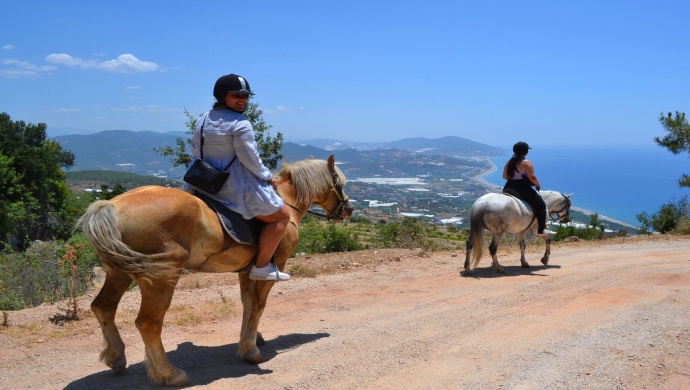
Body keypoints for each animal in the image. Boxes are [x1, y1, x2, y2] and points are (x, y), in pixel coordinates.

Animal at [78, 154, 352, 386]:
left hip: (119, 273)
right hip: (161, 278)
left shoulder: (246, 271)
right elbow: (258, 305)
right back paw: (170, 374)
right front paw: (250, 350)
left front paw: (252, 338)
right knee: (148, 323)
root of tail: (111, 206)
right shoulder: (273, 267)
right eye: (339, 182)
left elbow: (247, 304)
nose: (348, 210)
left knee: (103, 308)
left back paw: (116, 358)